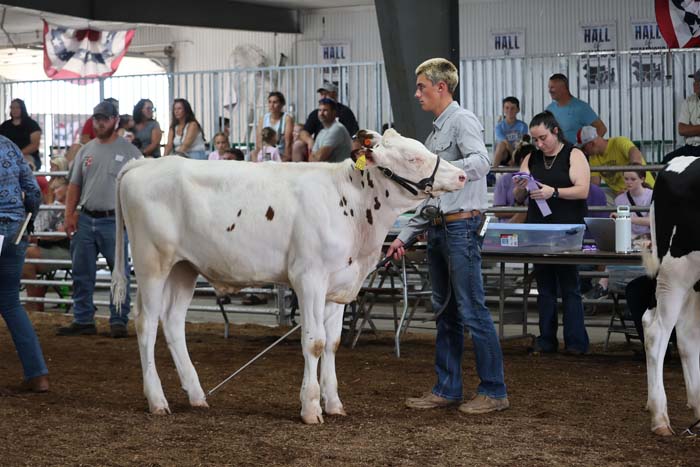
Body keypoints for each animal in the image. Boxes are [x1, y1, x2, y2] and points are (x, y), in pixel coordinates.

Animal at [111, 128, 466, 424]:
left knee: (172, 322)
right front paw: (310, 408)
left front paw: (334, 403)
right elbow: (314, 342)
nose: (462, 175)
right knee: (146, 323)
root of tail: (142, 164)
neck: (351, 205)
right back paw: (157, 400)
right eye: (413, 157)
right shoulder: (308, 278)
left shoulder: (338, 285)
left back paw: (196, 395)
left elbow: (333, 343)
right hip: (152, 263)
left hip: (184, 267)